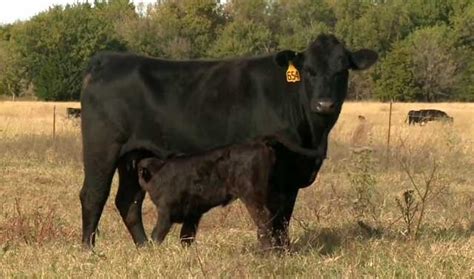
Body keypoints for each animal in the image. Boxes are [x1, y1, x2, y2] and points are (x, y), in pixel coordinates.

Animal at [138, 142, 274, 249]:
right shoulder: (192, 215)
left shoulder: (165, 213)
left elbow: (156, 236)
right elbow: (186, 237)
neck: (158, 173)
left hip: (251, 198)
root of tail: (261, 146)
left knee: (263, 220)